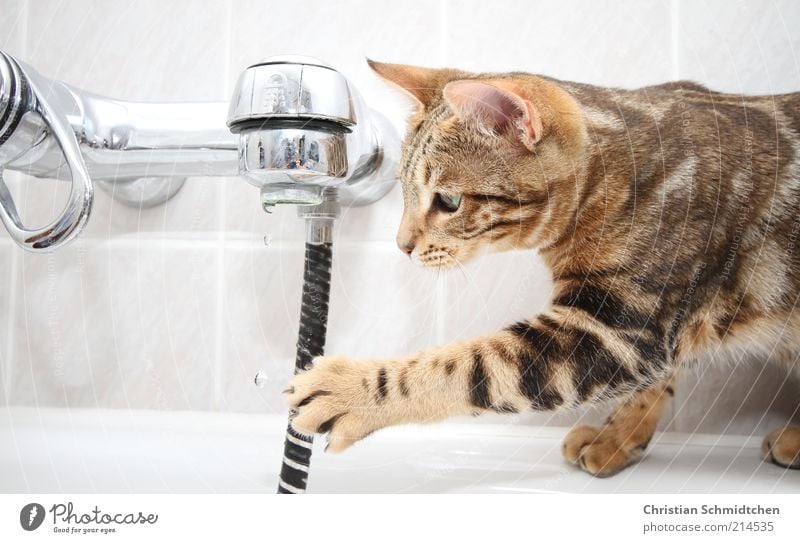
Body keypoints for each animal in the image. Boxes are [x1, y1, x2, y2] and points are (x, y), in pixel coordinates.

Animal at [282, 60, 800, 476]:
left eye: (448, 202)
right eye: (404, 191)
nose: (402, 245)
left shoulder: (617, 329)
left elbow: (471, 366)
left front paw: (354, 390)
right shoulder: (660, 325)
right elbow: (655, 384)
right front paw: (616, 440)